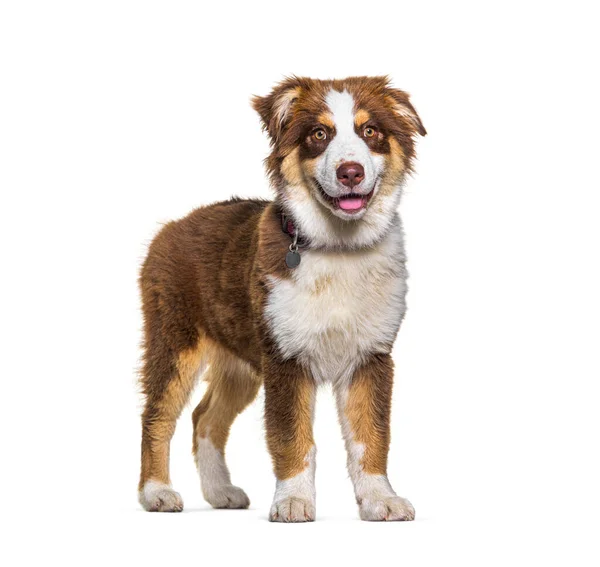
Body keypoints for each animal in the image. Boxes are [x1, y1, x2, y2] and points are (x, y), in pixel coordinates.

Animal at [137, 76, 426, 524]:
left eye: (370, 131)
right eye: (319, 134)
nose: (350, 172)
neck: (338, 249)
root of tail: (171, 226)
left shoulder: (370, 356)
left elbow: (371, 435)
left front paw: (381, 499)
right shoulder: (285, 358)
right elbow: (292, 436)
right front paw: (293, 501)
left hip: (240, 360)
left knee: (205, 418)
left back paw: (220, 491)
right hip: (174, 340)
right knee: (157, 416)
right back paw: (157, 493)